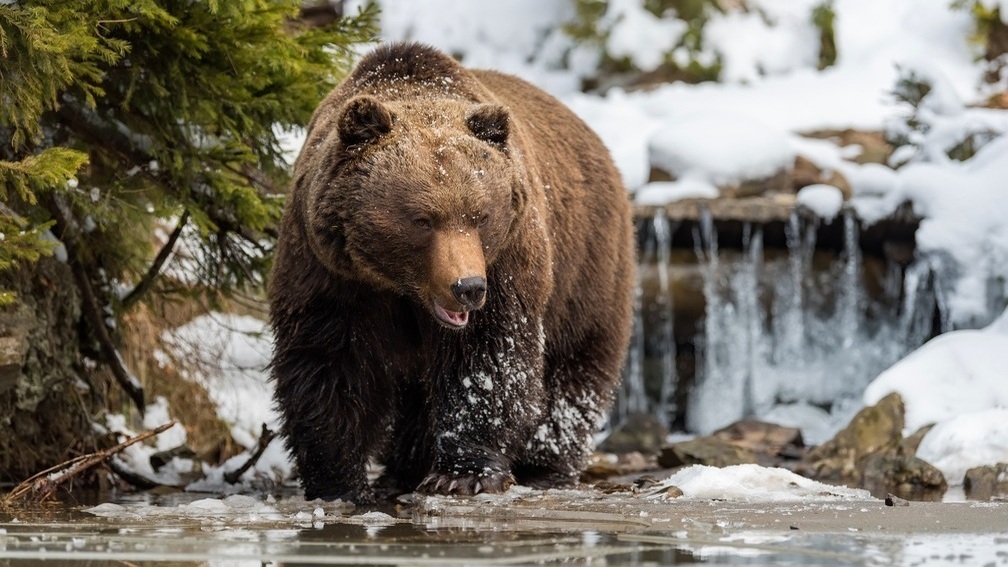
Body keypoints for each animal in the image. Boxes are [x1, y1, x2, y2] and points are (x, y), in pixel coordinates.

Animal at [268, 43, 628, 502]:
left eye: (481, 215)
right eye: (423, 219)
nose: (468, 287)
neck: (401, 287)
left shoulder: (507, 263)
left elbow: (487, 360)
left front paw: (463, 473)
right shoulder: (330, 271)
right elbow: (330, 361)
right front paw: (338, 481)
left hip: (586, 266)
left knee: (573, 368)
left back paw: (545, 466)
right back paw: (404, 468)